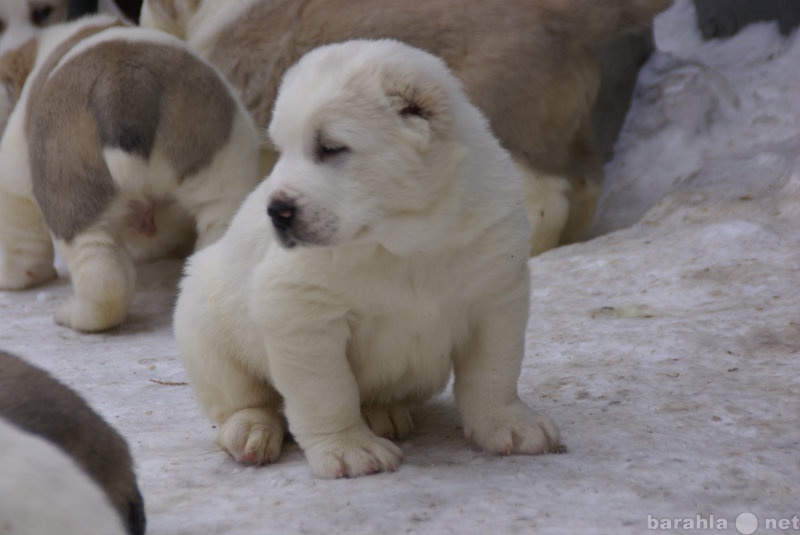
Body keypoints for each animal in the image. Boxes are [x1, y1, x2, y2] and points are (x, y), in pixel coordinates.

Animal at [0, 14, 260, 332]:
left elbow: (21, 242)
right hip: (221, 174)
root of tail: (124, 85)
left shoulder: (13, 182)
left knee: (103, 280)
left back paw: (75, 315)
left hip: (72, 198)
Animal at [175, 39, 564, 480]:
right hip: (203, 324)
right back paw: (251, 431)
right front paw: (349, 449)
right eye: (282, 152)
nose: (276, 211)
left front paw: (509, 424)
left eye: (330, 148)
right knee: (243, 398)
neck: (403, 241)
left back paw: (383, 413)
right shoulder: (301, 314)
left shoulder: (496, 294)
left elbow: (494, 371)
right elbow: (327, 391)